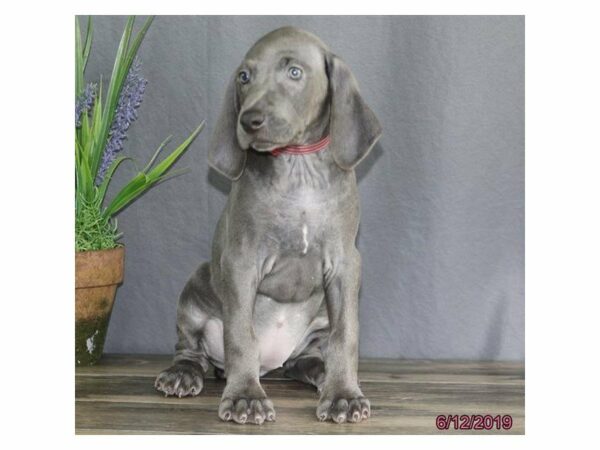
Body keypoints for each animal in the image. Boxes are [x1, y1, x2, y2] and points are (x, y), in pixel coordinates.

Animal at [155, 26, 380, 424]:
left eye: (294, 72)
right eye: (244, 77)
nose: (249, 120)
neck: (298, 168)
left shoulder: (345, 264)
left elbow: (346, 335)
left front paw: (344, 393)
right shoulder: (241, 262)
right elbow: (241, 336)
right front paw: (245, 397)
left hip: (317, 318)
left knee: (307, 358)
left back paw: (321, 372)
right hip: (196, 287)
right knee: (189, 348)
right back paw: (183, 374)